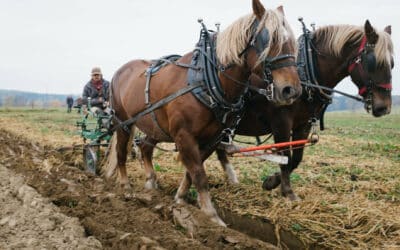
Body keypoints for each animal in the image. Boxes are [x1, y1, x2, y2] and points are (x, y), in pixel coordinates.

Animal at [104, 0, 302, 227]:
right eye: (269, 40)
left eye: (292, 42)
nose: (291, 90)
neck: (207, 82)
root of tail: (119, 71)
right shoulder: (184, 135)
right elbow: (199, 174)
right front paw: (212, 216)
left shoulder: (212, 139)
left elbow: (192, 173)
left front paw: (180, 199)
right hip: (123, 122)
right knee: (121, 152)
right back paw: (125, 185)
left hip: (154, 126)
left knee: (145, 147)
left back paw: (151, 182)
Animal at [216, 20, 394, 201]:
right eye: (372, 62)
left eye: (392, 64)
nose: (384, 107)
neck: (306, 73)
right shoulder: (281, 123)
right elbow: (285, 156)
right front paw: (288, 192)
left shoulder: (303, 124)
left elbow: (296, 158)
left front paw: (272, 181)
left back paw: (232, 179)